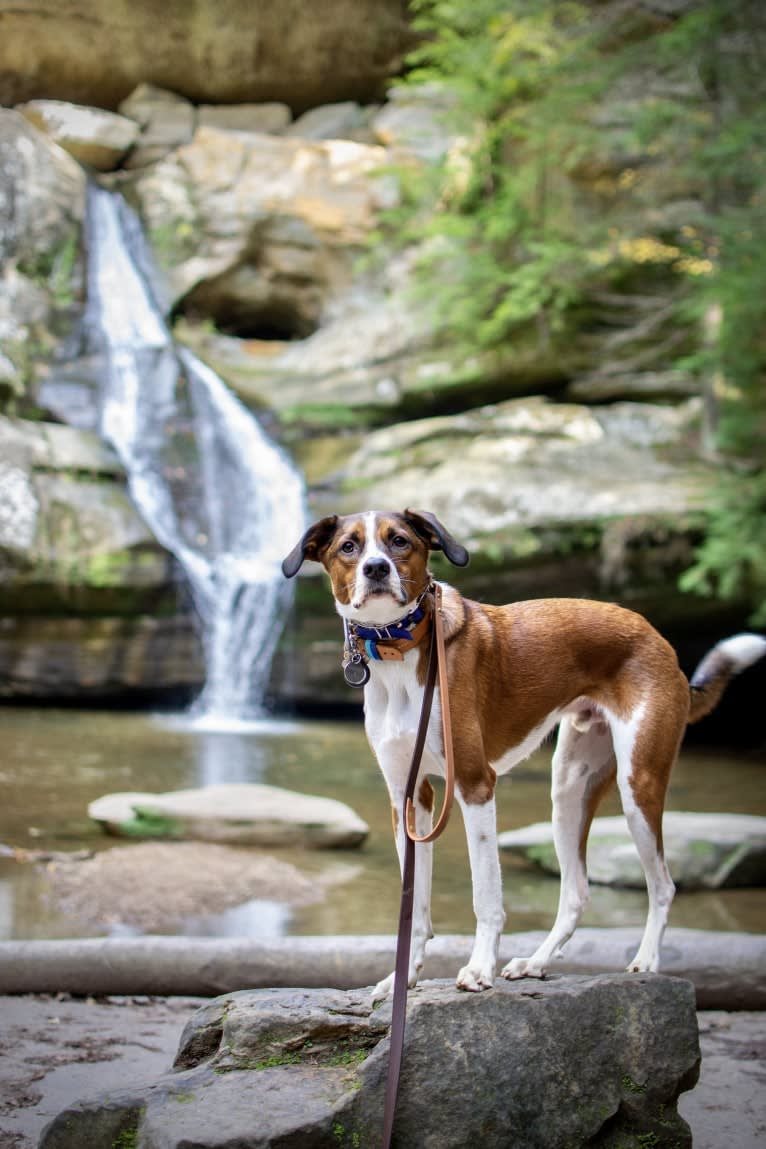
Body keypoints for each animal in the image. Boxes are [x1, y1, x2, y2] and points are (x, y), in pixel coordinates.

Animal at [283, 510, 766, 997]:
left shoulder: (475, 785)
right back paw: (536, 962)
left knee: (663, 886)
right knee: (577, 892)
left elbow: (486, 895)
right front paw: (403, 979)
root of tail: (658, 638)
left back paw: (645, 961)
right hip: (569, 790)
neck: (401, 651)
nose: (377, 568)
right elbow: (413, 905)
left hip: (639, 786)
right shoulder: (409, 796)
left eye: (398, 541)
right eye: (348, 546)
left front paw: (479, 968)